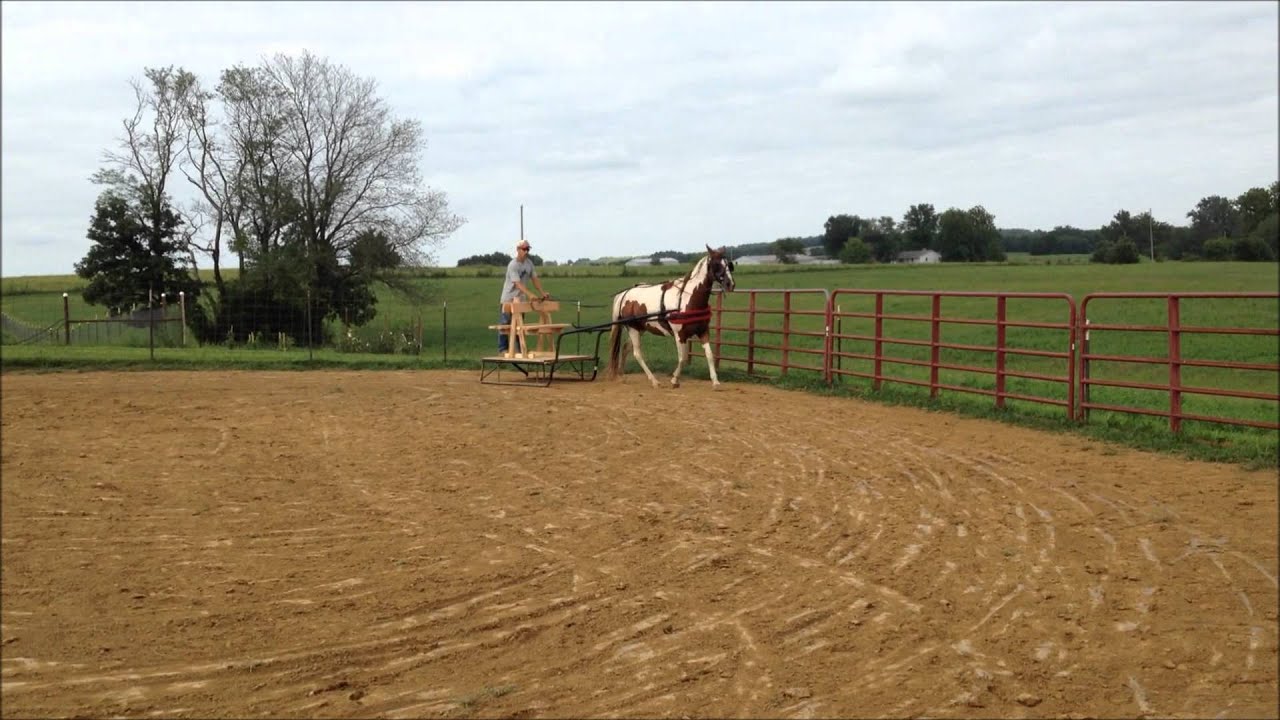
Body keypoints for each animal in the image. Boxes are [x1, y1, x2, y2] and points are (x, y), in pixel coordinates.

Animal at [606, 245, 736, 389]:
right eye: (716, 264)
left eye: (729, 264)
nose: (730, 284)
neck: (688, 298)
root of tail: (624, 294)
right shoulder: (680, 335)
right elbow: (683, 358)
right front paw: (674, 380)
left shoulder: (703, 331)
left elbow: (709, 355)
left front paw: (715, 382)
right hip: (633, 328)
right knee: (637, 353)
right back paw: (654, 380)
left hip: (640, 329)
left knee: (626, 348)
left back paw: (622, 375)